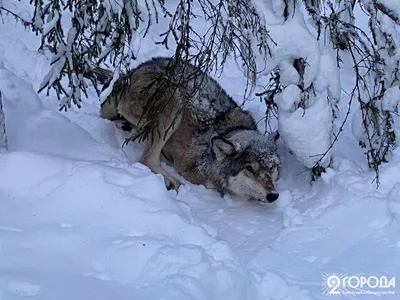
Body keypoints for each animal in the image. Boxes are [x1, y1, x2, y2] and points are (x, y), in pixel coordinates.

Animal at [100, 57, 282, 203]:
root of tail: (130, 74)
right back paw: (171, 181)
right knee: (146, 159)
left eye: (272, 167)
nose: (273, 196)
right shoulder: (189, 167)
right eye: (249, 169)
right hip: (174, 100)